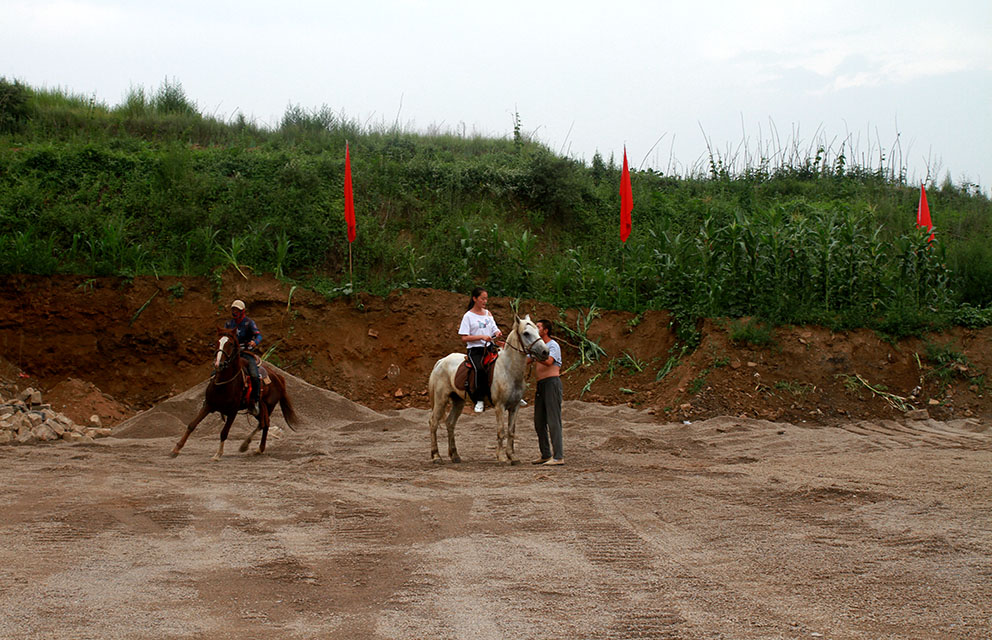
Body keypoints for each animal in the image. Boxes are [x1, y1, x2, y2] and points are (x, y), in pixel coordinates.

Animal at [170, 330, 298, 460]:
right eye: (217, 342)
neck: (224, 385)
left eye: (230, 344)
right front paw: (176, 450)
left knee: (265, 424)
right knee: (262, 423)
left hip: (268, 406)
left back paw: (257, 448)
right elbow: (192, 425)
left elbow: (224, 432)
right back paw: (248, 446)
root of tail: (278, 376)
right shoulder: (208, 405)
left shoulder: (233, 411)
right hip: (258, 409)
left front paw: (218, 454)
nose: (218, 364)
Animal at [426, 316, 552, 464]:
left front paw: (512, 457)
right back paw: (436, 456)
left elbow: (511, 431)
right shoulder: (499, 406)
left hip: (458, 401)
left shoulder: (515, 407)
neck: (508, 369)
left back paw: (455, 456)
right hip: (441, 399)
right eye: (526, 333)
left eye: (538, 330)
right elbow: (501, 431)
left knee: (450, 423)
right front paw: (501, 457)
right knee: (433, 422)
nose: (545, 352)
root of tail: (441, 361)